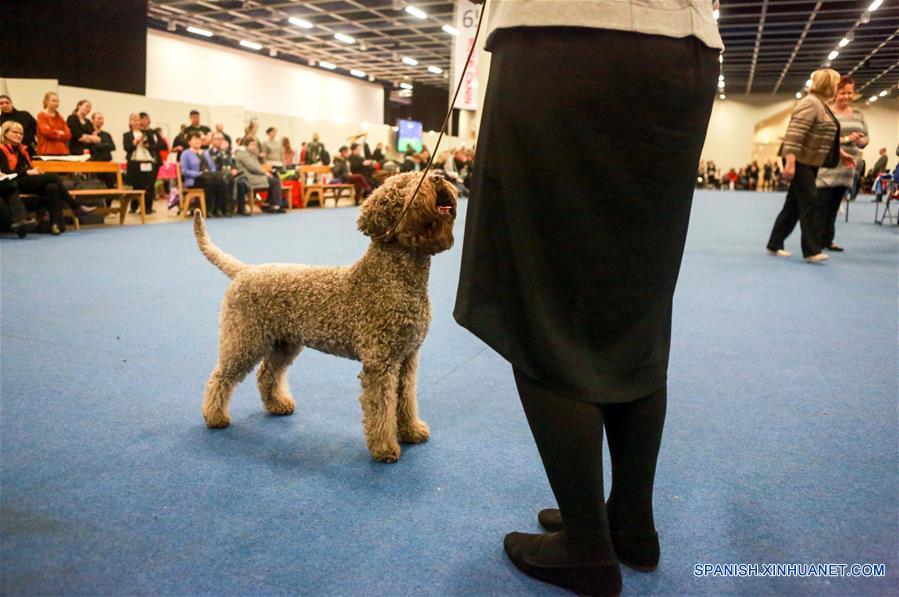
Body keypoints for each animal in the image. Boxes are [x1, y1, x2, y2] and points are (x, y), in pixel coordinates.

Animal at [192, 171, 458, 460]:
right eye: (404, 185)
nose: (439, 176)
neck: (394, 277)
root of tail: (244, 271)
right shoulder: (380, 363)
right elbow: (382, 407)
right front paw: (384, 447)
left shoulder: (407, 358)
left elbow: (406, 399)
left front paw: (411, 430)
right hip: (244, 340)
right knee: (220, 377)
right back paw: (214, 416)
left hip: (284, 343)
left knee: (267, 374)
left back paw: (277, 404)